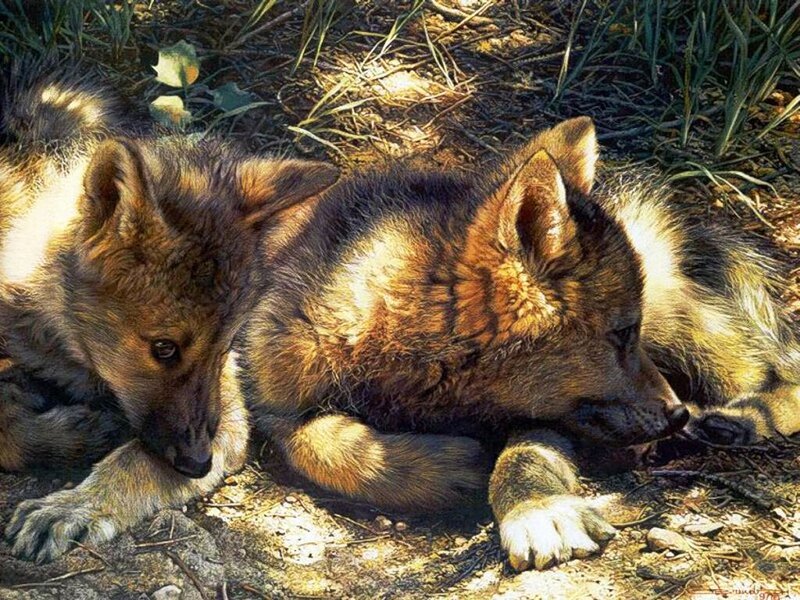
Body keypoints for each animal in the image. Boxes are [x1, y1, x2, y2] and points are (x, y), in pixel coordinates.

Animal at [0, 62, 338, 563]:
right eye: (163, 348)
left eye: (226, 345)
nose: (198, 463)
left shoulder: (228, 416)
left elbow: (133, 459)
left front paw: (75, 506)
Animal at [239, 116, 800, 571]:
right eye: (621, 334)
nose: (677, 414)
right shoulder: (275, 396)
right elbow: (320, 446)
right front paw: (446, 465)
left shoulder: (546, 414)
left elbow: (523, 459)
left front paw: (538, 511)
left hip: (674, 312)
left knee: (776, 365)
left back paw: (743, 417)